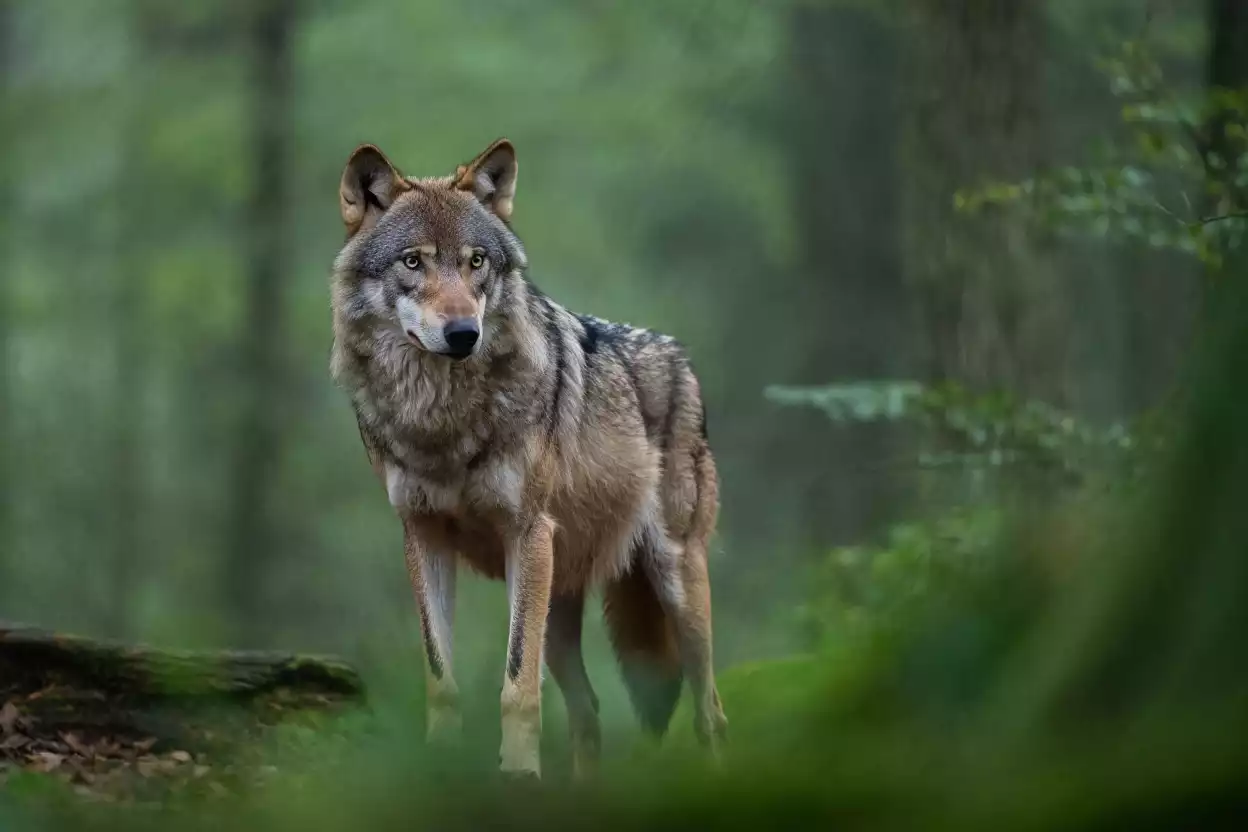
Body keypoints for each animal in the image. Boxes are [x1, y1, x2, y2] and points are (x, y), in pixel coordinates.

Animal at [329, 138, 727, 778]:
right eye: (413, 262)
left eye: (476, 262)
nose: (463, 333)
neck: (442, 420)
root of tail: (681, 358)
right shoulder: (423, 536)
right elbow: (442, 679)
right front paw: (440, 768)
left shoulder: (526, 533)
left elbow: (516, 686)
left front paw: (518, 779)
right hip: (561, 604)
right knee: (589, 709)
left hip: (673, 583)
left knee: (709, 711)